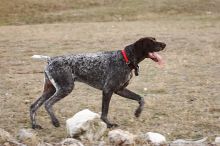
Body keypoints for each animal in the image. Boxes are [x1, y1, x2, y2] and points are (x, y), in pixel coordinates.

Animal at [30, 36, 166, 129]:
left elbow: (141, 98)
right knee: (47, 104)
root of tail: (50, 59)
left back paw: (35, 126)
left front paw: (138, 112)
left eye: (155, 39)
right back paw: (55, 121)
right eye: (151, 42)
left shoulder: (120, 90)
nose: (164, 44)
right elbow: (104, 112)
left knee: (34, 106)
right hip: (66, 88)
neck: (126, 59)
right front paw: (109, 124)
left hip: (51, 89)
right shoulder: (108, 90)